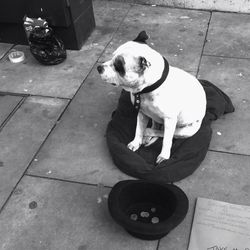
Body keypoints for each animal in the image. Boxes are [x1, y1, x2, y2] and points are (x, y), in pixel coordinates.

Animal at [96, 31, 206, 164]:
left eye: (118, 66)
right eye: (111, 57)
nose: (99, 68)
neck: (147, 90)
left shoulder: (170, 120)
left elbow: (166, 140)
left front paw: (164, 155)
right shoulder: (142, 113)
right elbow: (139, 129)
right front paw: (136, 142)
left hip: (186, 131)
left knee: (164, 133)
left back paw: (149, 133)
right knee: (156, 126)